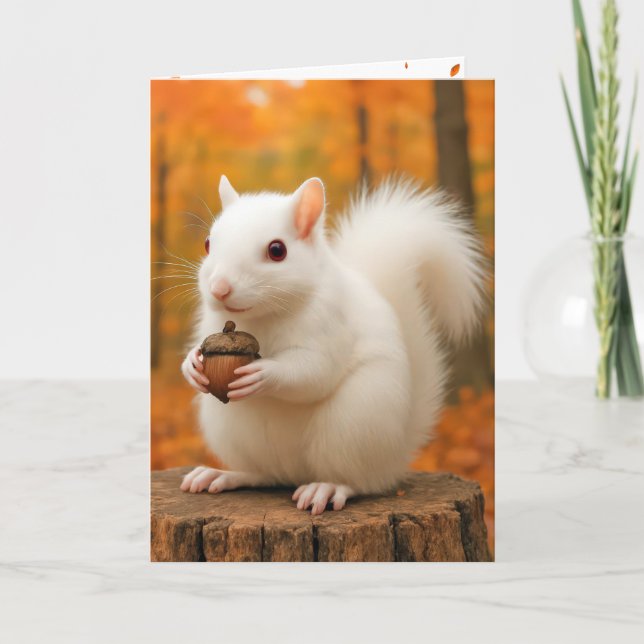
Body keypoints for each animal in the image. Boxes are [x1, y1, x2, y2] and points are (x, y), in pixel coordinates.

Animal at [180, 175, 485, 515]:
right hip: (233, 432)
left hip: (354, 424)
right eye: (208, 243)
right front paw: (192, 366)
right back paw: (223, 475)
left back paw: (326, 488)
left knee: (359, 482)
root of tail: (393, 458)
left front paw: (264, 373)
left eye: (277, 250)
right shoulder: (211, 325)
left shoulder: (332, 325)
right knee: (264, 474)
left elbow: (314, 373)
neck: (262, 316)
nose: (219, 288)